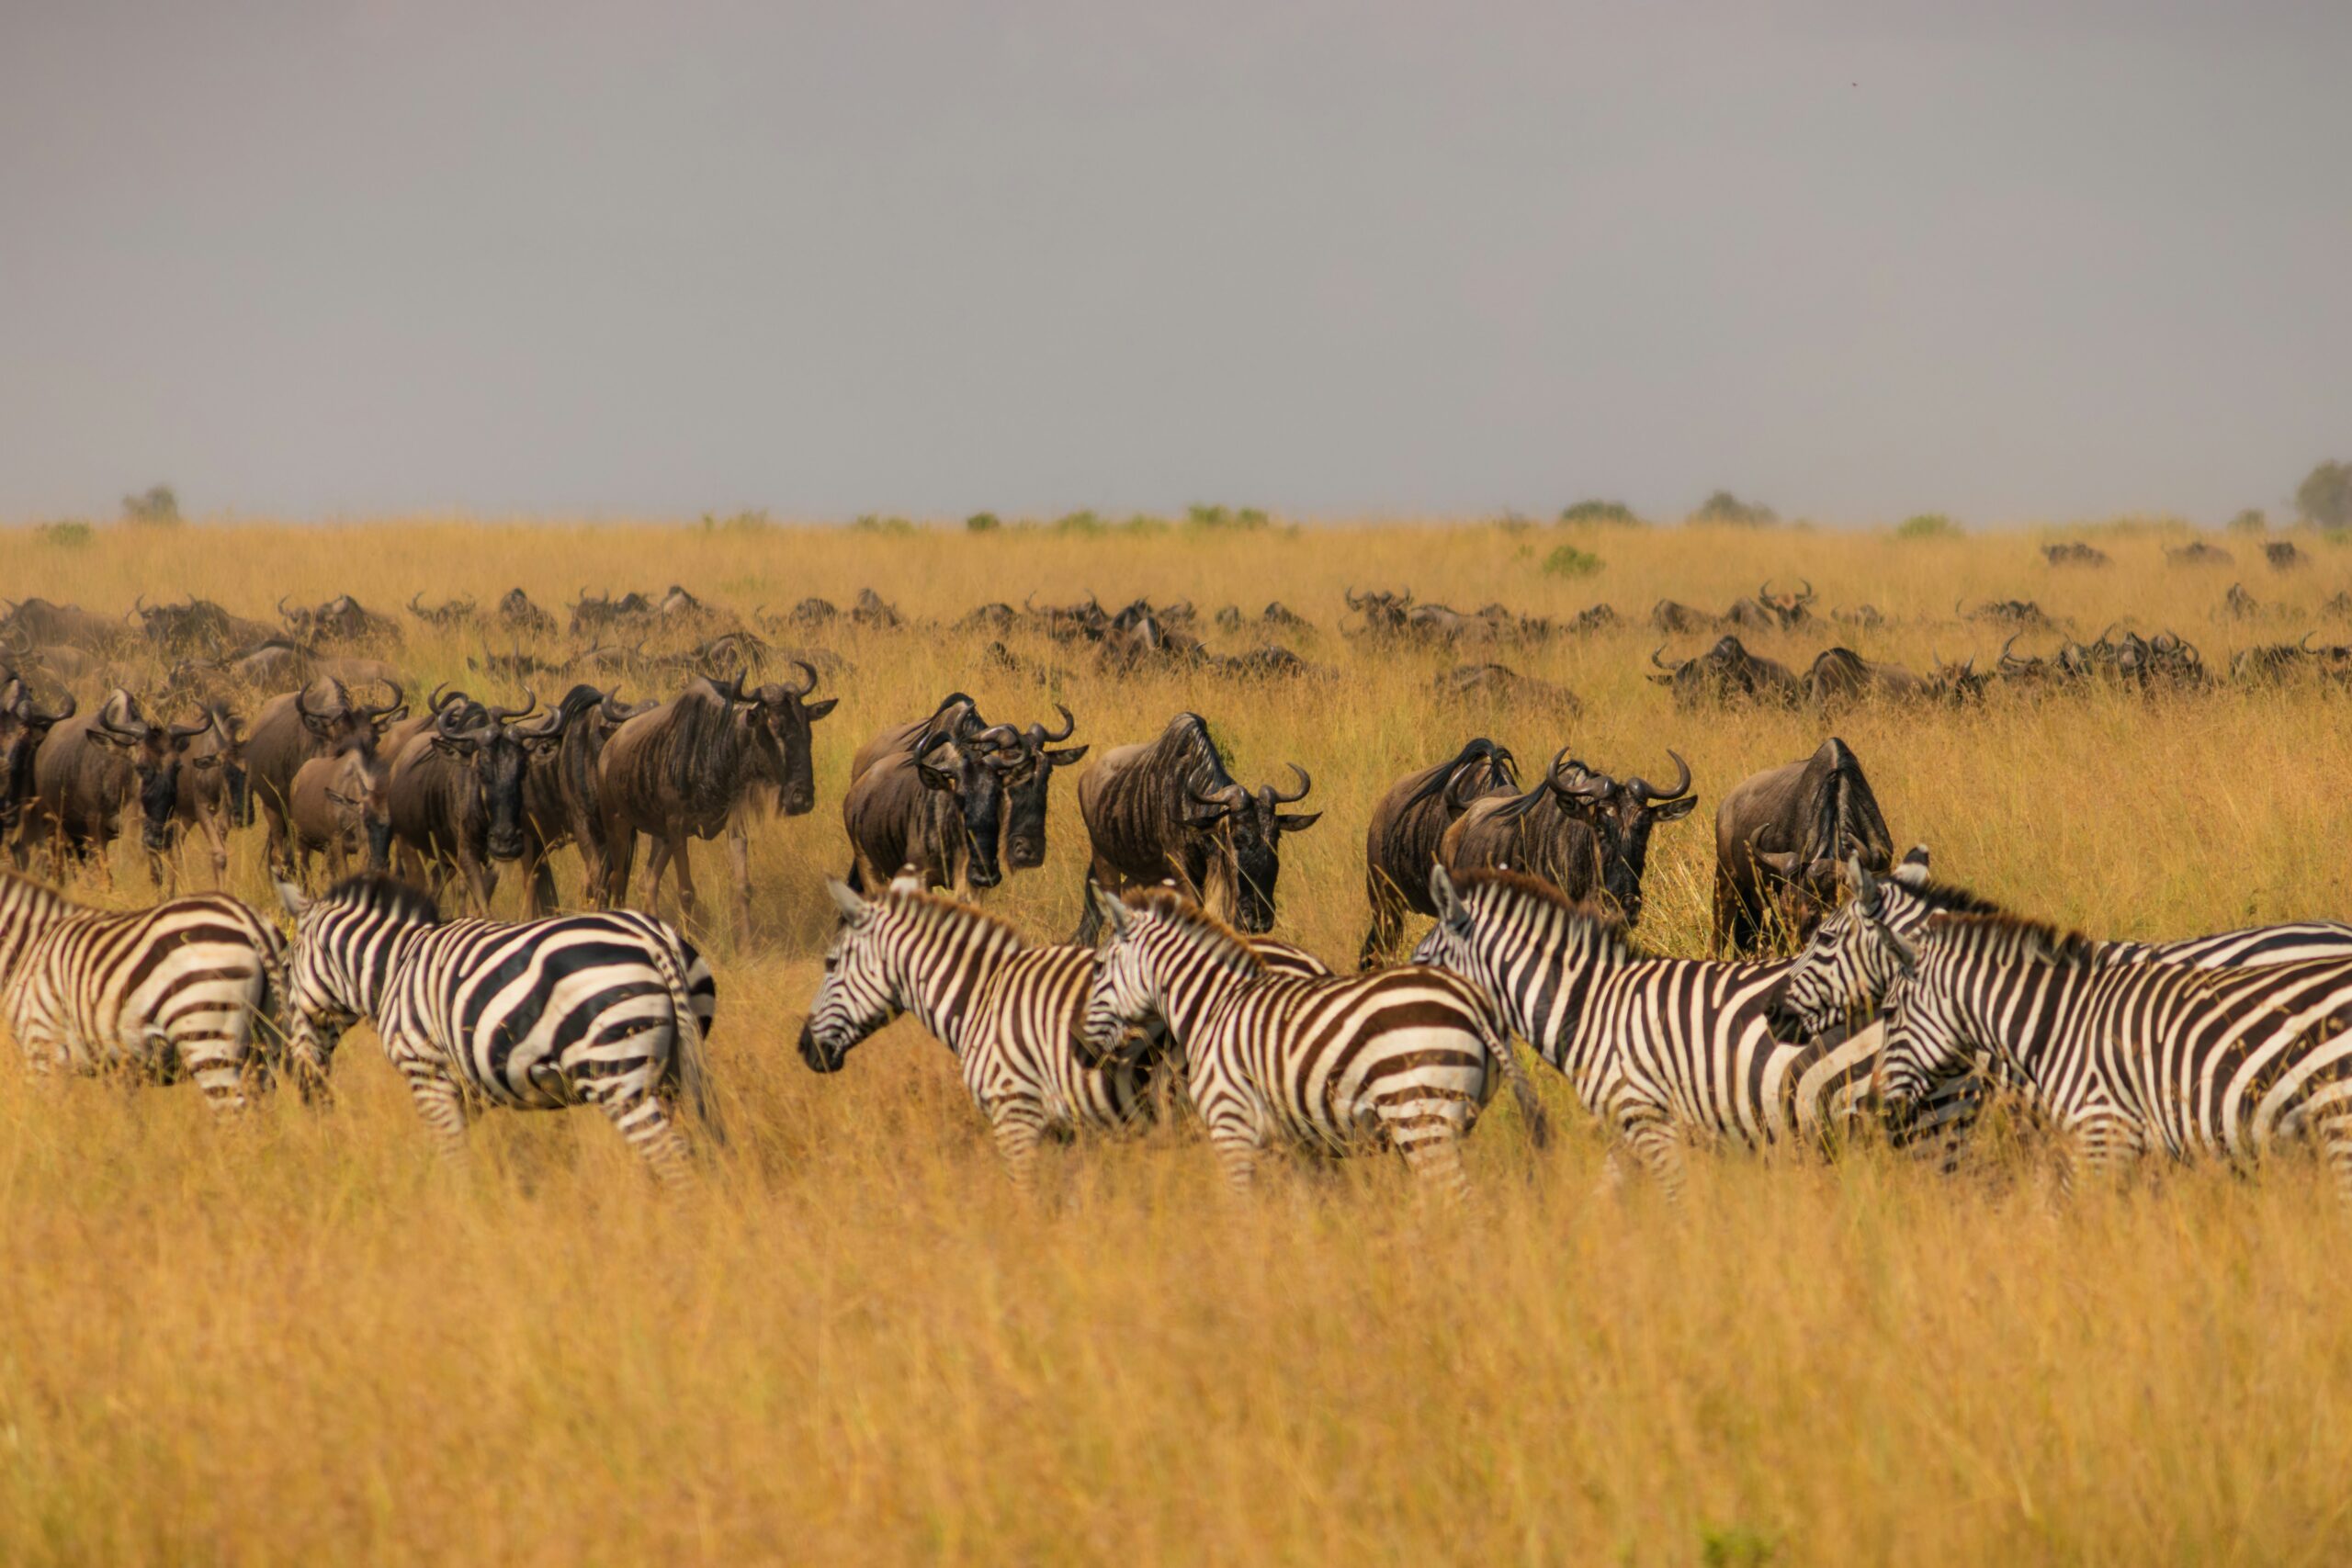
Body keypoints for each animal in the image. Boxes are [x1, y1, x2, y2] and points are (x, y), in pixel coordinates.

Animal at [0, 871, 286, 1115]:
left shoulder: (43, 1050)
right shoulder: (119, 1070)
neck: (28, 948)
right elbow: (127, 1125)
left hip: (206, 1034)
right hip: (263, 1049)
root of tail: (249, 921)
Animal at [273, 875, 719, 1182]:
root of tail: (654, 939)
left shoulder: (426, 1073)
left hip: (615, 1071)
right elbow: (459, 1156)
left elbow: (450, 1156)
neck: (394, 968)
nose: (302, 1083)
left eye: (288, 968)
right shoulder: (464, 1089)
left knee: (673, 1155)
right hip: (670, 1070)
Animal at [798, 873, 1332, 1188]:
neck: (981, 999)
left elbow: (1024, 1200)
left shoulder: (1015, 1112)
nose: (805, 1050)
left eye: (829, 964)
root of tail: (1313, 964)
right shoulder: (1066, 1132)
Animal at [1079, 885, 1548, 1198]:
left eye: (1098, 966)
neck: (1212, 1005)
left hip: (1420, 1115)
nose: (1081, 1048)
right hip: (1452, 1119)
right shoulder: (1296, 1145)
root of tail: (1475, 1003)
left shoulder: (1231, 1124)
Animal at [1413, 864, 1890, 1196]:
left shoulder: (1646, 1116)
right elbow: (1605, 1203)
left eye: (1419, 960)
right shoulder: (1625, 1126)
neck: (1588, 1005)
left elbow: (1677, 1201)